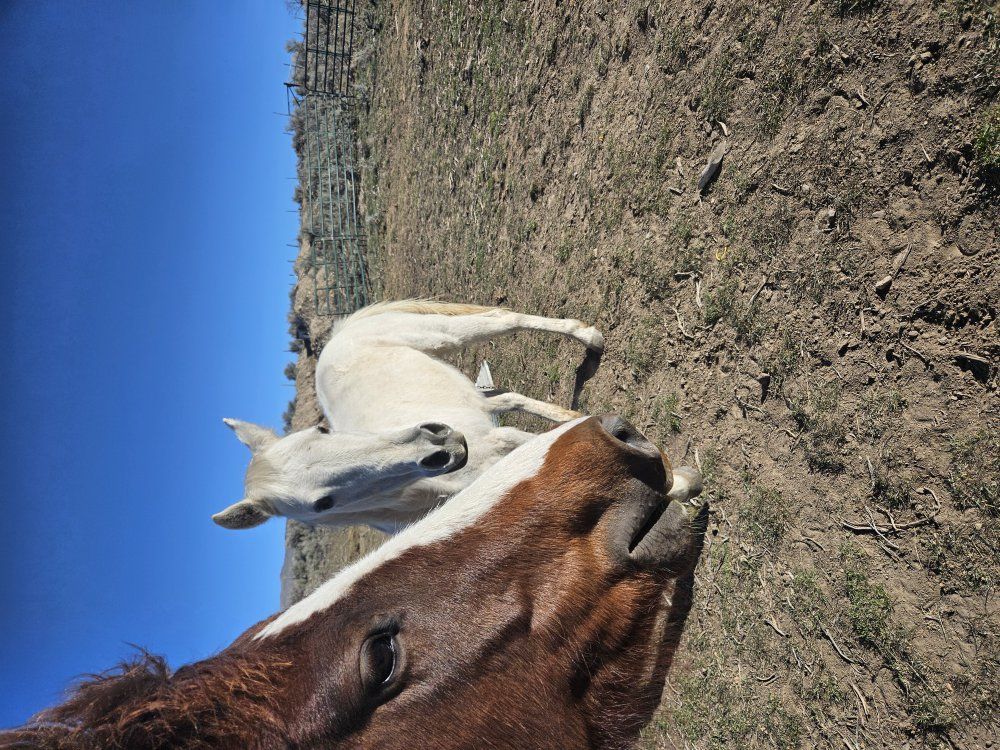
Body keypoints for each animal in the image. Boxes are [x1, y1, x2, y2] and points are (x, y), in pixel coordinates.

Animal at [213, 300, 608, 533]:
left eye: (321, 430)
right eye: (322, 504)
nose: (440, 446)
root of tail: (336, 340)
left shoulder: (505, 441)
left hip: (444, 336)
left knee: (505, 318)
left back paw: (592, 339)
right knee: (507, 398)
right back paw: (569, 412)